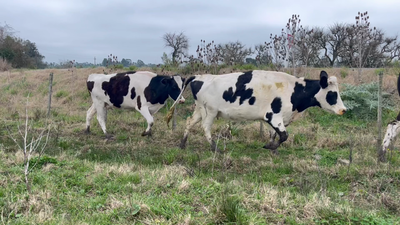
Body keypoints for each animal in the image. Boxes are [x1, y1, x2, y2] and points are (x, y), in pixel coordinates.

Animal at [178, 70, 346, 154]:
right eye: (332, 94)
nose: (343, 110)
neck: (293, 89)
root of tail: (200, 76)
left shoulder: (280, 118)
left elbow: (275, 134)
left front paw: (273, 147)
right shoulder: (273, 116)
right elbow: (284, 136)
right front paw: (270, 147)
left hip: (200, 109)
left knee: (189, 122)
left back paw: (183, 143)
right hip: (210, 111)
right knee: (205, 127)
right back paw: (214, 148)